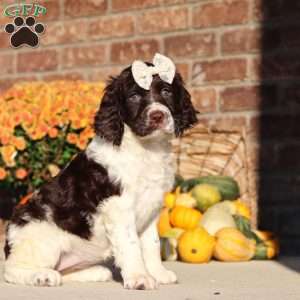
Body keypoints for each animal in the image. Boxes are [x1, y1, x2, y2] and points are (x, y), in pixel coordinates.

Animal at [4, 57, 199, 290]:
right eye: (133, 97)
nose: (158, 116)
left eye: (167, 91)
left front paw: (158, 274)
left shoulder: (152, 207)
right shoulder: (119, 207)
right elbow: (131, 244)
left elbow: (152, 243)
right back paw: (41, 276)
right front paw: (140, 278)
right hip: (40, 236)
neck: (146, 149)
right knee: (11, 270)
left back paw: (95, 272)